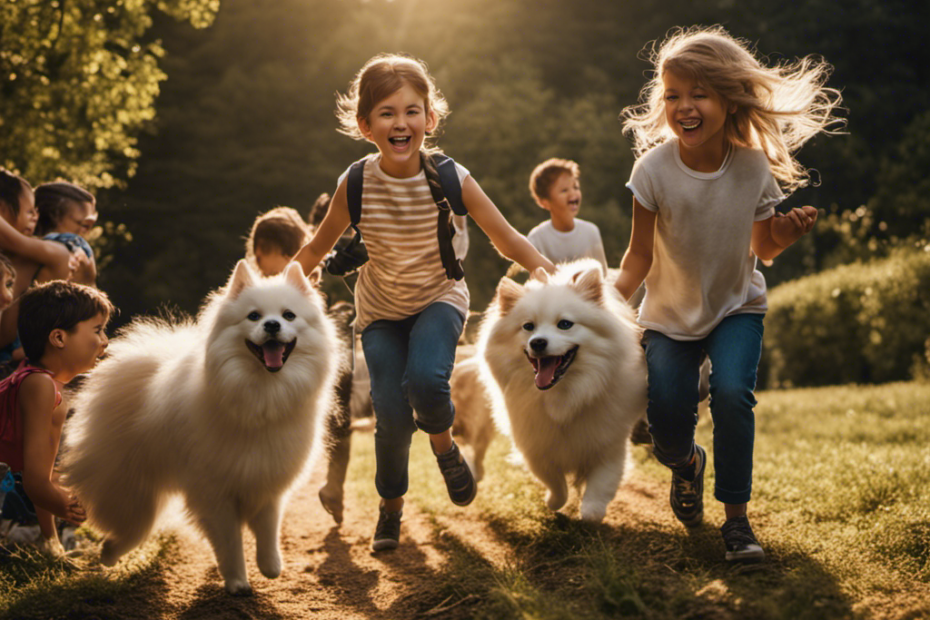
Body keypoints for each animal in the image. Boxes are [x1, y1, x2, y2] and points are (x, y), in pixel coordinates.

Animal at [62, 262, 338, 596]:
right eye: (254, 316)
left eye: (289, 315)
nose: (272, 325)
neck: (261, 395)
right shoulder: (214, 492)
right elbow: (230, 541)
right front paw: (237, 581)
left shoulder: (266, 482)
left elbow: (267, 529)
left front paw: (270, 565)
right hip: (133, 487)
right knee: (130, 523)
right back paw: (109, 552)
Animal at [478, 260, 644, 520]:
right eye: (528, 327)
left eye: (565, 324)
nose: (537, 342)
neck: (564, 397)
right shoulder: (537, 448)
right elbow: (554, 482)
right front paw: (554, 502)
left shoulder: (610, 446)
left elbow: (600, 488)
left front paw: (592, 511)